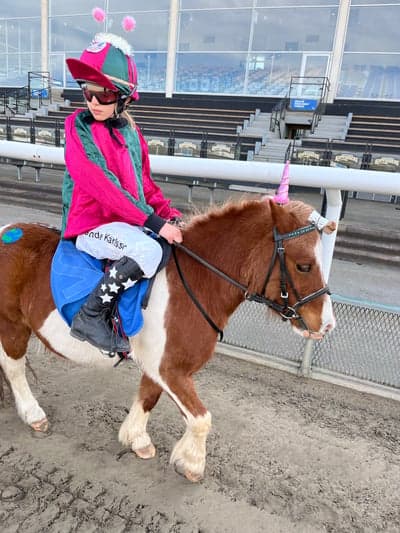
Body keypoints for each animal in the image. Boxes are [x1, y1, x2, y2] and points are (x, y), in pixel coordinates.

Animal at [0, 197, 334, 480]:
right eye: (304, 265)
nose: (327, 324)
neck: (195, 282)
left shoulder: (159, 366)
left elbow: (149, 398)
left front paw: (137, 439)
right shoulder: (170, 369)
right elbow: (201, 418)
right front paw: (192, 463)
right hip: (12, 324)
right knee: (14, 367)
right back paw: (33, 414)